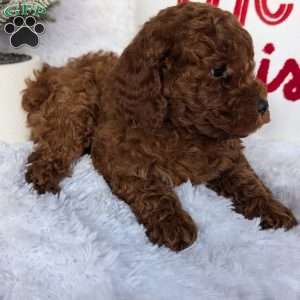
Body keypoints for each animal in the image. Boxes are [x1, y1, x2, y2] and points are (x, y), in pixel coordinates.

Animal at [22, 2, 296, 251]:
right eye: (217, 71)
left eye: (249, 64)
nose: (263, 105)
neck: (183, 129)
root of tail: (56, 71)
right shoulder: (121, 157)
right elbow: (151, 188)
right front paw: (172, 223)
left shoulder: (229, 157)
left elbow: (249, 181)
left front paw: (274, 210)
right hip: (76, 105)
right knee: (57, 145)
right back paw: (42, 177)